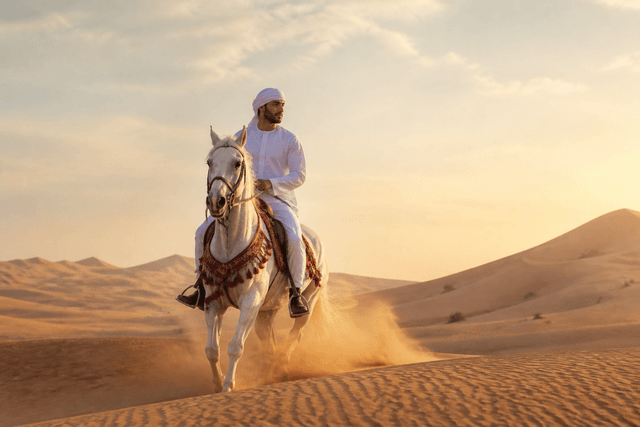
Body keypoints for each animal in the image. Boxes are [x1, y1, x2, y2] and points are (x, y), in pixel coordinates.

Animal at [202, 126, 328, 393]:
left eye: (237, 163)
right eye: (209, 162)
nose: (216, 201)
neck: (231, 244)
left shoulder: (250, 302)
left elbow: (235, 347)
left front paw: (228, 386)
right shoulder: (213, 302)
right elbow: (211, 349)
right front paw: (217, 383)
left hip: (308, 300)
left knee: (295, 334)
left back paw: (280, 369)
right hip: (267, 312)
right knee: (269, 342)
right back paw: (268, 373)